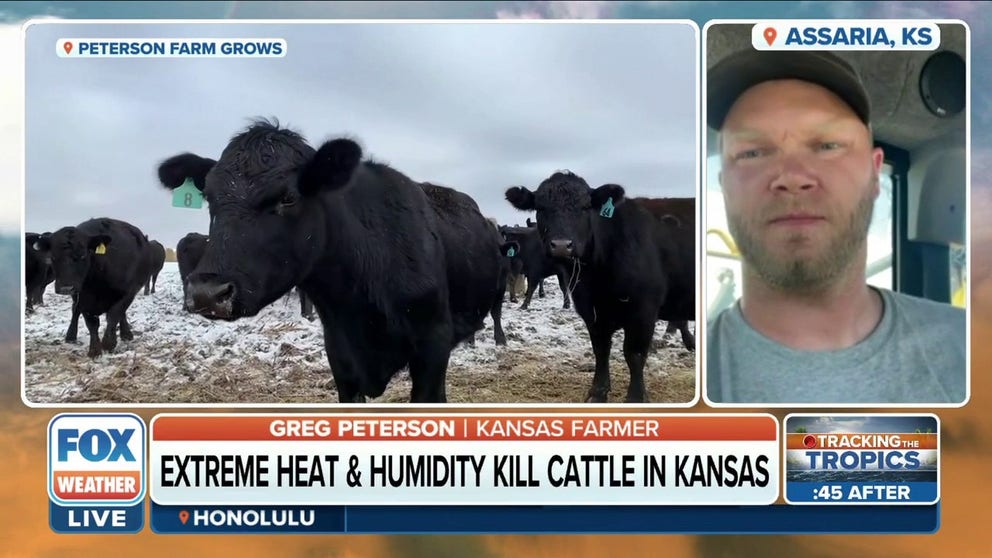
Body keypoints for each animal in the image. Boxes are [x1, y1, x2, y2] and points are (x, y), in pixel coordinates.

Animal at [34, 219, 153, 358]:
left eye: (83, 255)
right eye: (53, 257)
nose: (66, 288)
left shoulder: (128, 292)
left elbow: (114, 315)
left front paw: (109, 343)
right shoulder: (83, 298)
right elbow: (91, 323)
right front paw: (94, 350)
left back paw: (126, 334)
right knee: (75, 310)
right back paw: (71, 336)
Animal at [508, 171, 692, 402]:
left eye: (586, 206)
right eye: (541, 208)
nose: (561, 245)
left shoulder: (644, 311)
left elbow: (634, 354)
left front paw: (636, 396)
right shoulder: (592, 312)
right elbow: (601, 350)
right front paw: (597, 392)